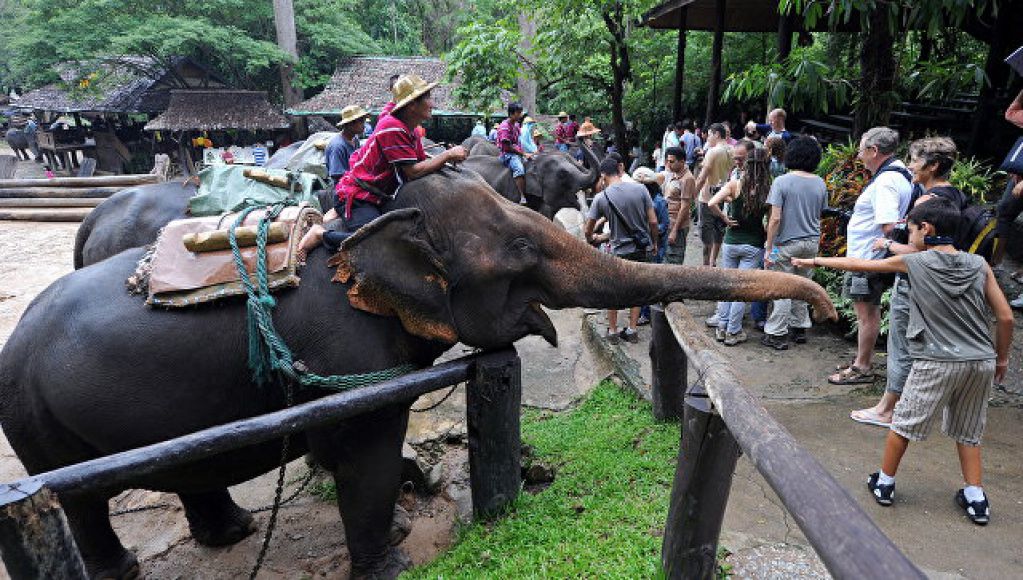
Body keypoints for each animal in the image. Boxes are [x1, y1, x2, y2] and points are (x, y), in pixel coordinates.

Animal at [0, 167, 837, 579]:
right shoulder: (347, 352)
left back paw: (233, 532)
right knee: (82, 502)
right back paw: (121, 571)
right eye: (521, 254)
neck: (369, 227)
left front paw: (416, 492)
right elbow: (362, 446)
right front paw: (396, 556)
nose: (826, 297)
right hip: (41, 428)